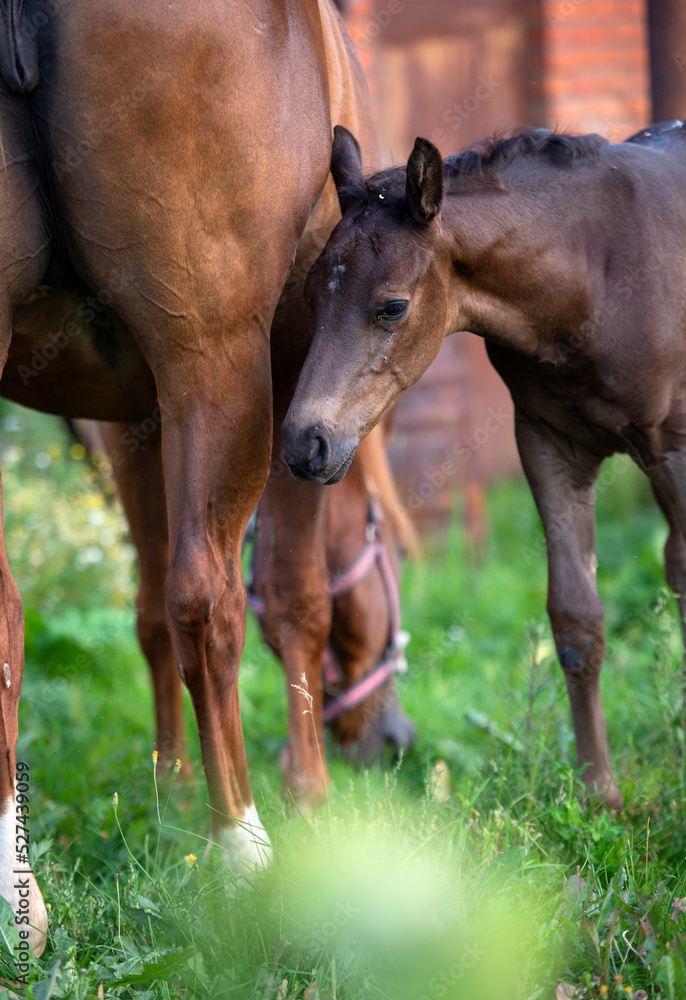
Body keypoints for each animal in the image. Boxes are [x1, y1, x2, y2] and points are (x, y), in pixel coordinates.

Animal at [0, 0, 377, 956]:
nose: (389, 737)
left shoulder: (131, 423)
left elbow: (142, 612)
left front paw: (168, 783)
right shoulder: (290, 384)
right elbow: (293, 599)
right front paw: (310, 799)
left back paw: (21, 902)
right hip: (212, 355)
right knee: (207, 597)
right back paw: (242, 843)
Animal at [283, 119, 686, 813]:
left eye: (392, 306)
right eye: (310, 294)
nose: (305, 443)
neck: (597, 270)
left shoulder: (676, 448)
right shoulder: (549, 442)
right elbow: (576, 615)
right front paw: (597, 795)